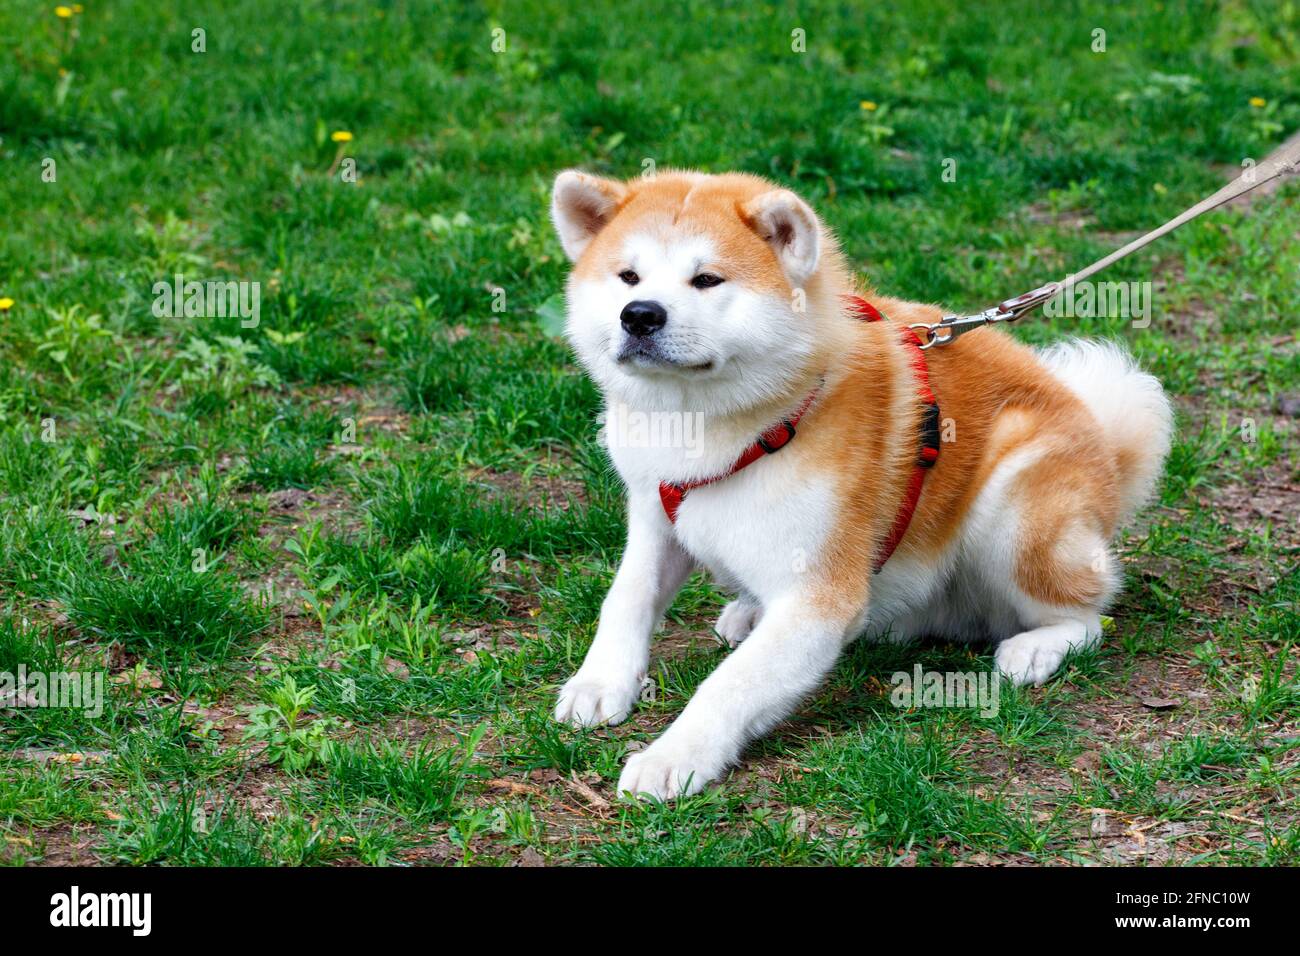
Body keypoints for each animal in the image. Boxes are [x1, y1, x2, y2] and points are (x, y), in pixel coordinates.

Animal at [543, 166, 1175, 801]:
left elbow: (729, 685)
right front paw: (600, 683)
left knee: (1088, 614)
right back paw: (750, 611)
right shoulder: (656, 515)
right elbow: (626, 599)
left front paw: (673, 755)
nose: (639, 314)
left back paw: (1037, 648)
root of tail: (1108, 453)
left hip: (1012, 509)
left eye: (706, 279)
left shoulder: (822, 596)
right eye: (628, 276)